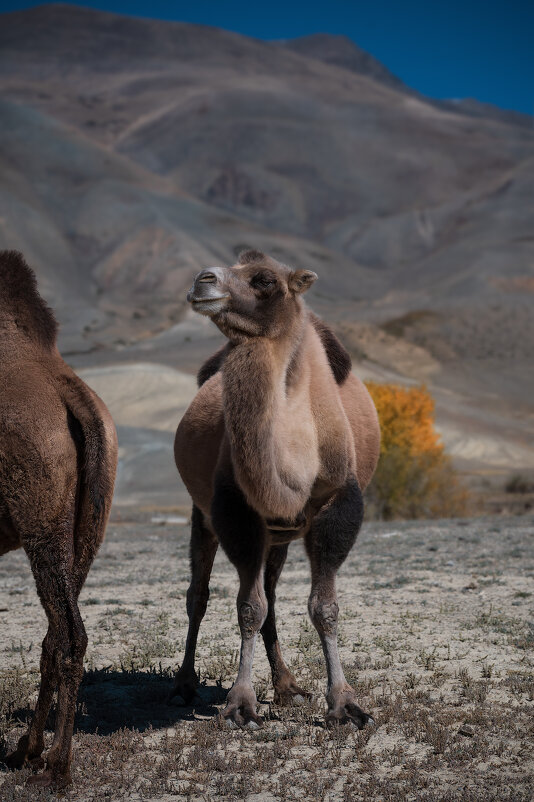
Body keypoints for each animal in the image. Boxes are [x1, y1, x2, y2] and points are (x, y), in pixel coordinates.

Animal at [172, 248, 382, 724]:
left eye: (265, 280)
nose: (203, 280)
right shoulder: (236, 510)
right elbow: (248, 607)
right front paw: (240, 702)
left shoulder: (338, 505)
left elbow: (324, 608)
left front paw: (344, 702)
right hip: (203, 515)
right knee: (199, 594)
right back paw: (184, 684)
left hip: (281, 535)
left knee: (268, 591)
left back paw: (287, 686)